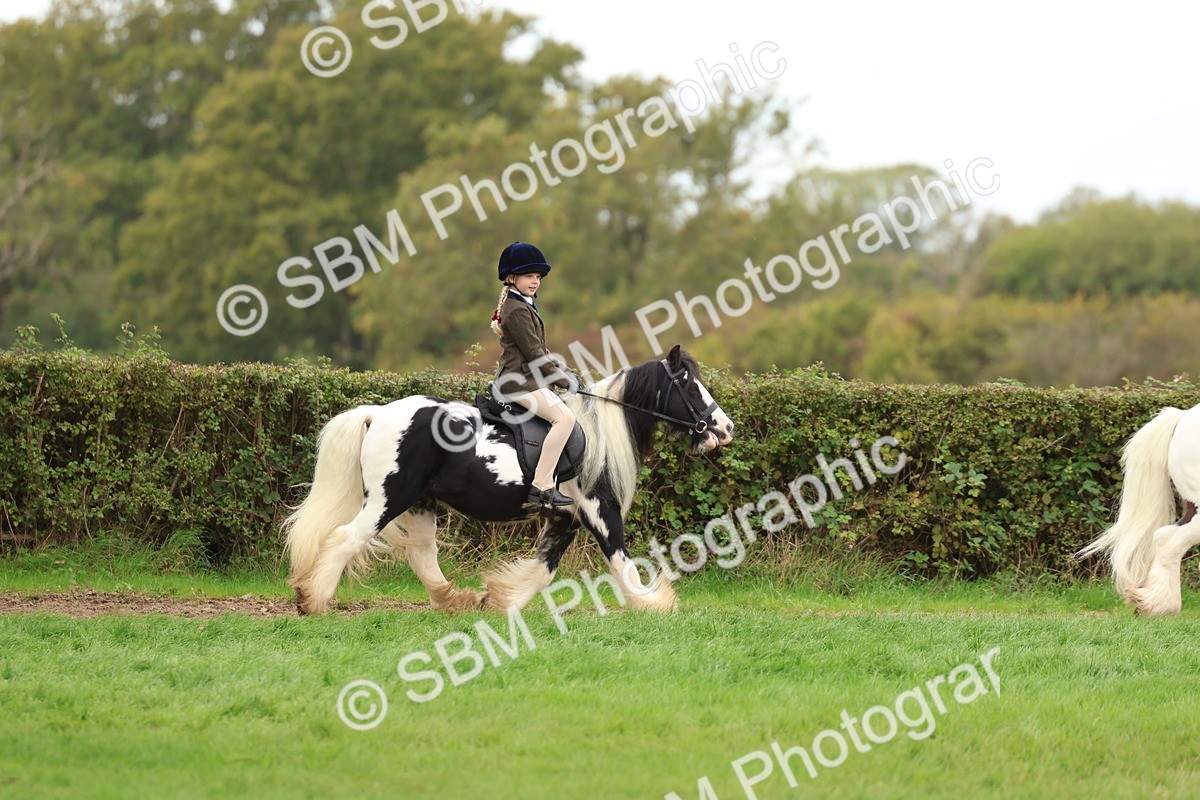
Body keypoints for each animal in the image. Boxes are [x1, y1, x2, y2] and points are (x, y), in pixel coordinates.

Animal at [283, 345, 735, 615]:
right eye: (689, 385)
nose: (725, 428)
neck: (599, 433)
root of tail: (377, 413)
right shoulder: (599, 510)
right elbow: (622, 561)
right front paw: (654, 604)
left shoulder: (565, 519)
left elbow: (544, 569)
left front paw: (502, 598)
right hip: (388, 499)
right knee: (346, 539)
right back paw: (312, 599)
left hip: (420, 503)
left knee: (423, 555)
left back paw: (456, 599)